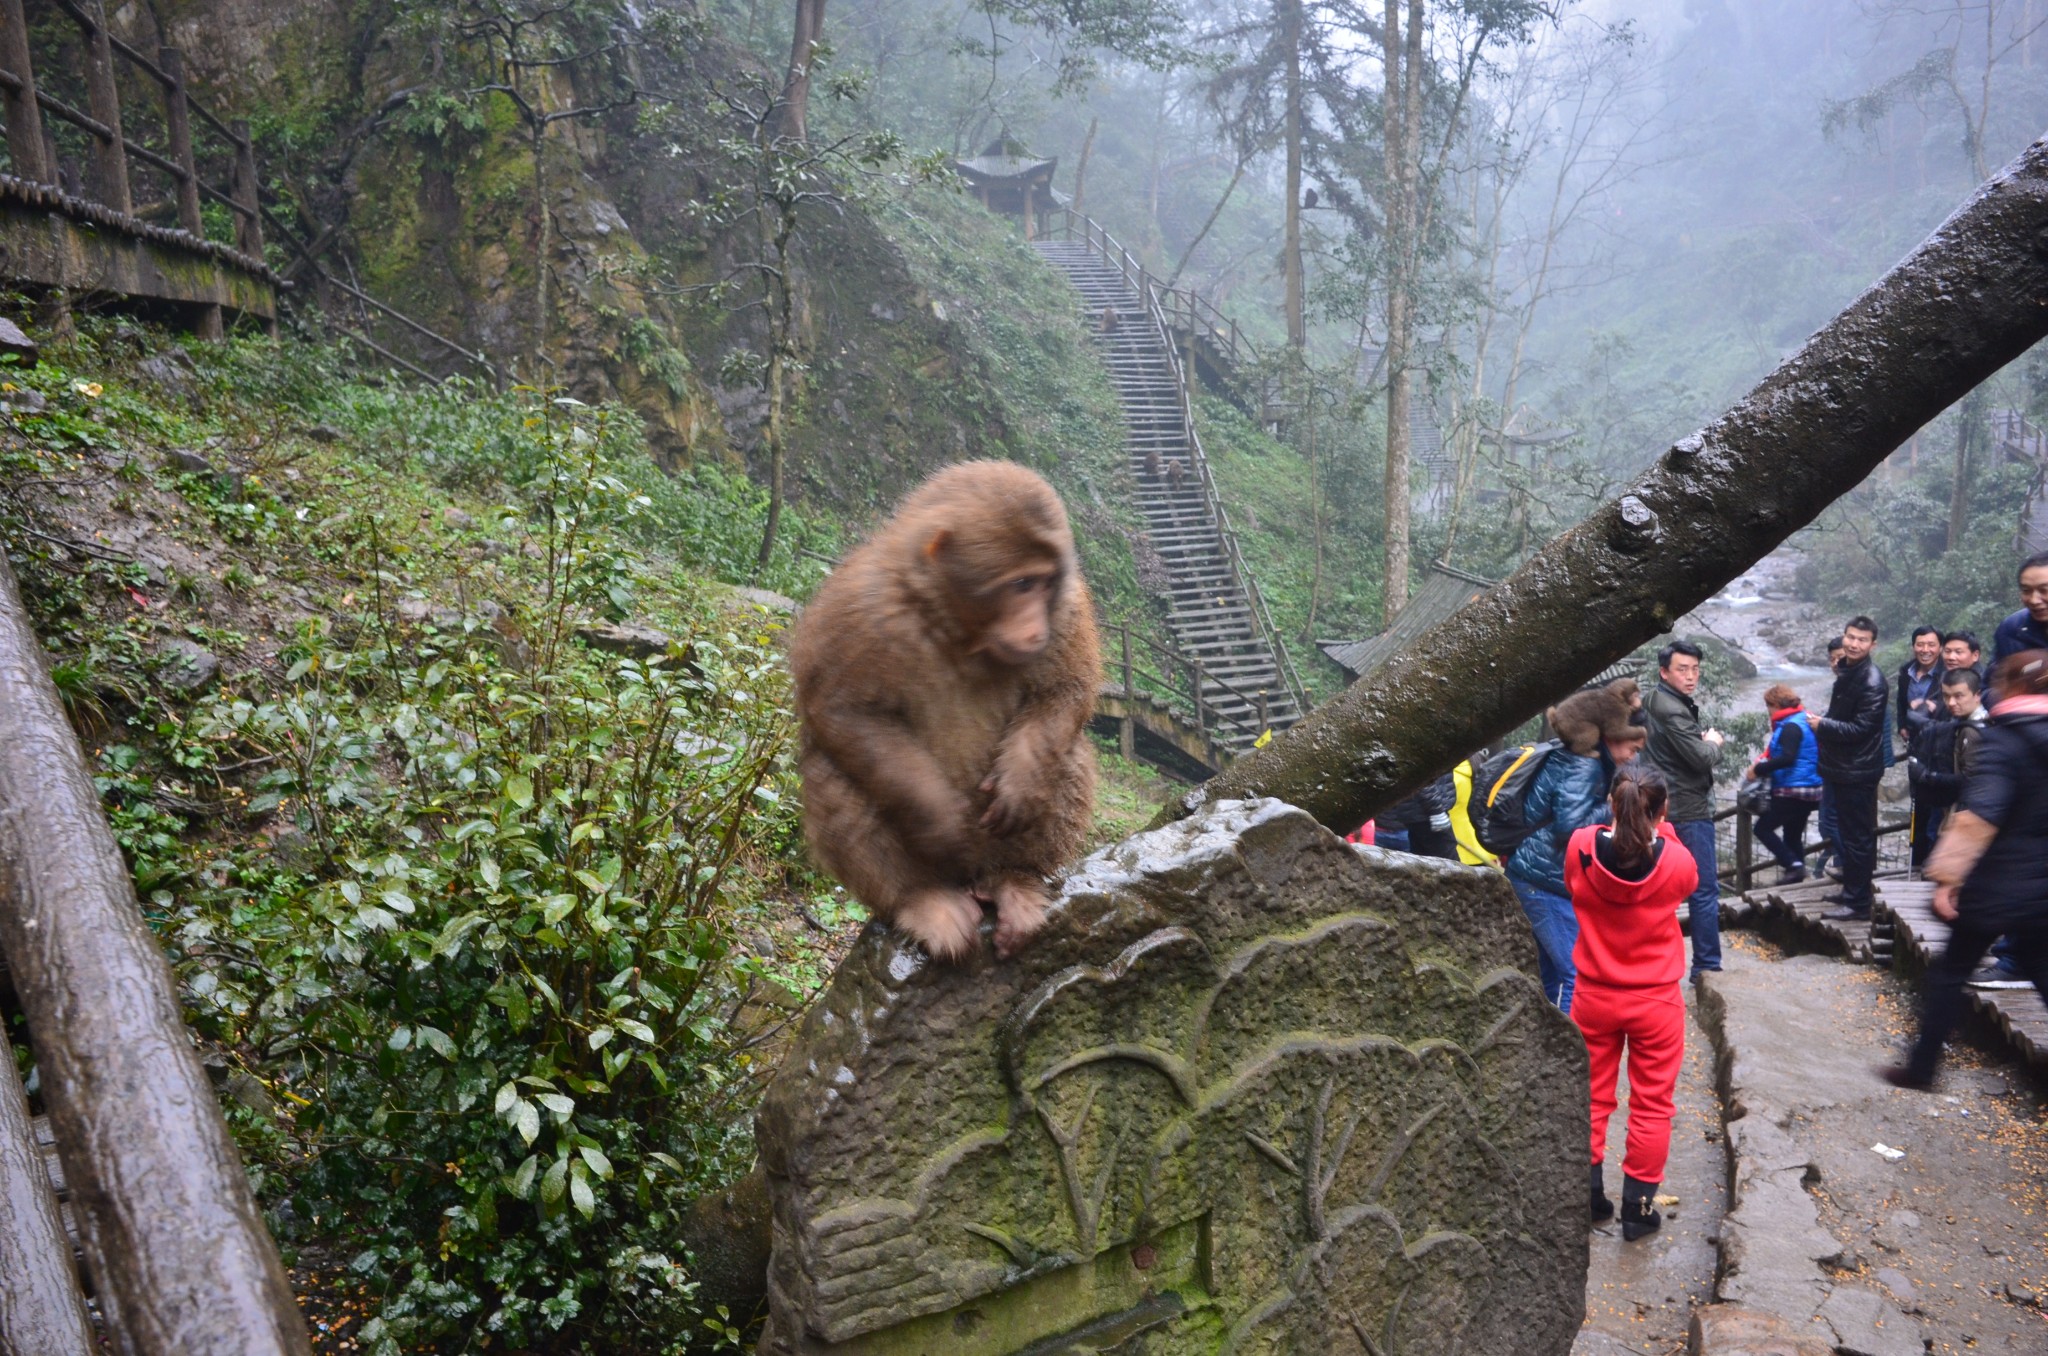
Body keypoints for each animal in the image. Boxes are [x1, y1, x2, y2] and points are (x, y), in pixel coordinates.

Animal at [786, 462, 1105, 962]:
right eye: (1021, 584)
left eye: (1047, 581)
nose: (1036, 629)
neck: (958, 629)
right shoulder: (863, 605)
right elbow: (844, 711)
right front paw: (941, 822)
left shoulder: (1067, 608)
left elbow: (1065, 692)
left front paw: (1019, 785)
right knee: (829, 769)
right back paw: (922, 899)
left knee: (1067, 752)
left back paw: (1012, 881)